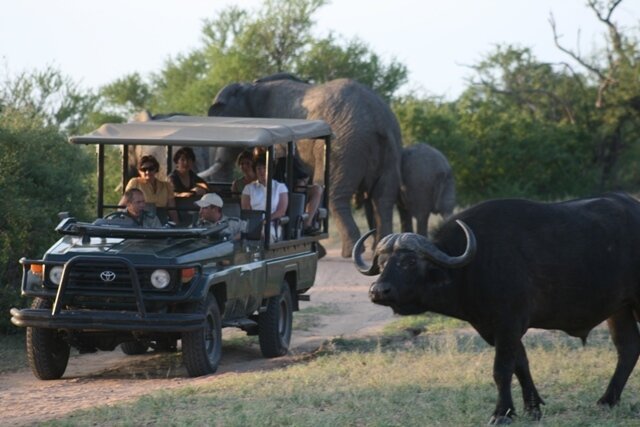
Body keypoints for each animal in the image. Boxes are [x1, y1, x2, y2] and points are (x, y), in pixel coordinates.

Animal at [208, 73, 402, 258]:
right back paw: (380, 248)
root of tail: (378, 120)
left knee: (333, 195)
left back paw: (351, 251)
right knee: (383, 198)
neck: (249, 88)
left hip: (346, 146)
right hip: (389, 148)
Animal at [352, 193, 640, 424]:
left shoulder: (508, 324)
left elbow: (501, 370)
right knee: (627, 348)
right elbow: (520, 364)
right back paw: (607, 400)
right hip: (619, 309)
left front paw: (501, 413)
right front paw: (531, 408)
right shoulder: (493, 328)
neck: (473, 266)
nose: (378, 290)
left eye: (409, 262)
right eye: (383, 262)